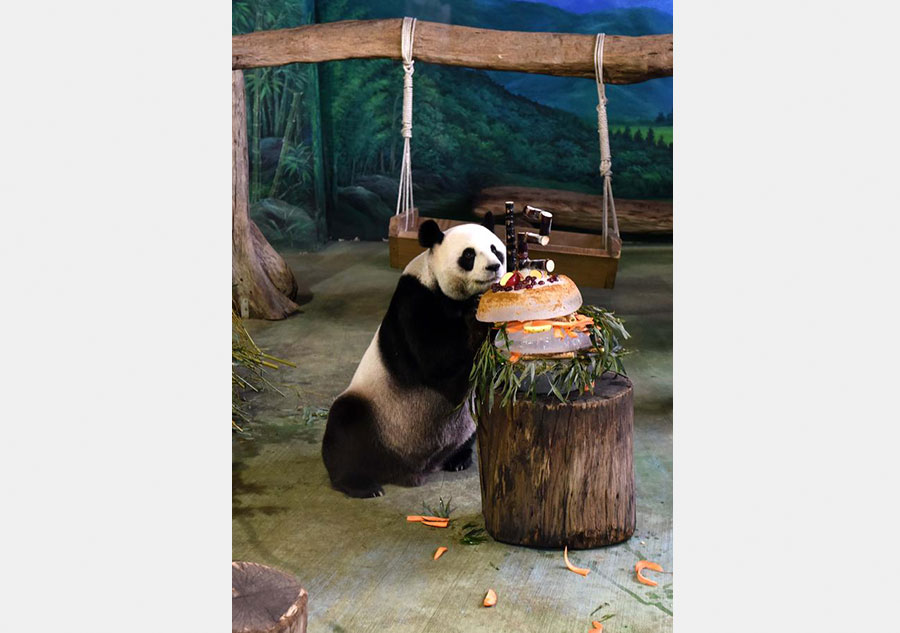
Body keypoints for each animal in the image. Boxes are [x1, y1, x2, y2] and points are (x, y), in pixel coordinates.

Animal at [322, 214, 506, 497]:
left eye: (496, 249)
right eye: (469, 255)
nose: (494, 266)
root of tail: (406, 469)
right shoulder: (415, 301)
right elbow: (435, 361)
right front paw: (476, 315)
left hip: (465, 423)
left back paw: (458, 459)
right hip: (375, 410)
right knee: (344, 428)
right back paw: (361, 484)